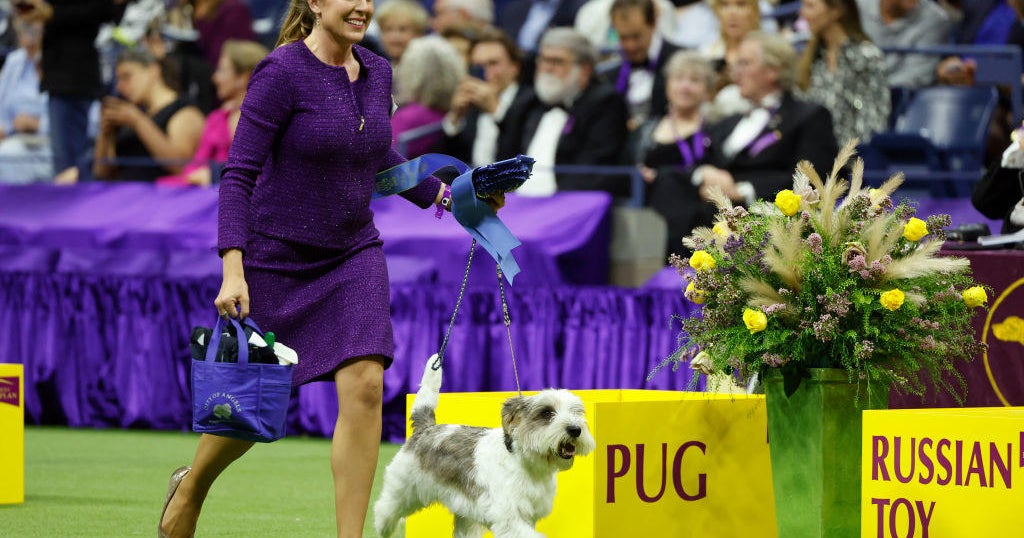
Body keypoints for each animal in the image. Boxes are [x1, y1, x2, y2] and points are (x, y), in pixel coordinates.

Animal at [374, 354, 598, 532]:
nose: (575, 429)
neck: (525, 463)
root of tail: (427, 427)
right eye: (547, 413)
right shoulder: (510, 520)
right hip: (401, 489)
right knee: (383, 509)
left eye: (577, 413)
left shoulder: (527, 517)